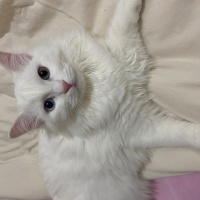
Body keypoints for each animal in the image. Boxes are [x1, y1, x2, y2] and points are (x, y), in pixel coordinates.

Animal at [0, 0, 200, 200]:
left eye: (43, 73)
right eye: (49, 105)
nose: (65, 86)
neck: (93, 86)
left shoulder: (121, 50)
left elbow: (124, 16)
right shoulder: (142, 126)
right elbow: (181, 132)